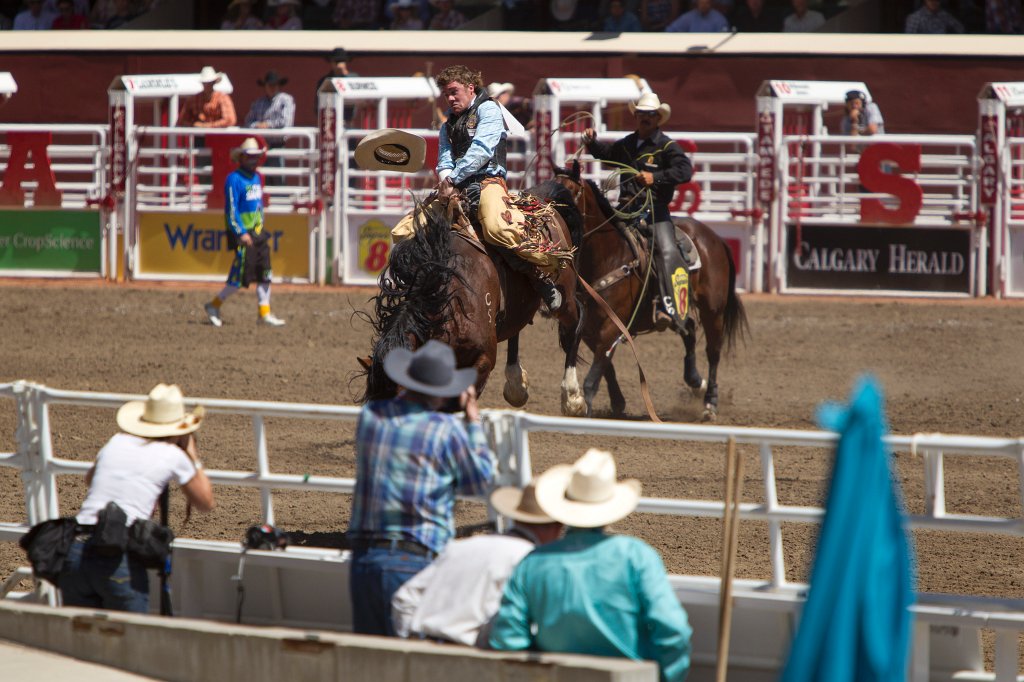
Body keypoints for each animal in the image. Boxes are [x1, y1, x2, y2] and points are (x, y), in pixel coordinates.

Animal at [358, 179, 585, 413]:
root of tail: (541, 199)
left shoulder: (482, 363)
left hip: (565, 293)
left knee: (576, 320)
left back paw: (572, 396)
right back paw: (516, 385)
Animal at [557, 163, 749, 419]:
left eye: (571, 191)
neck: (607, 256)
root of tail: (715, 239)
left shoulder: (610, 326)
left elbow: (596, 373)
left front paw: (586, 406)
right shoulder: (588, 327)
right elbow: (607, 367)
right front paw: (618, 402)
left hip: (713, 310)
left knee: (713, 351)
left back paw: (710, 402)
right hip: (677, 306)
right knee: (688, 329)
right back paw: (695, 382)